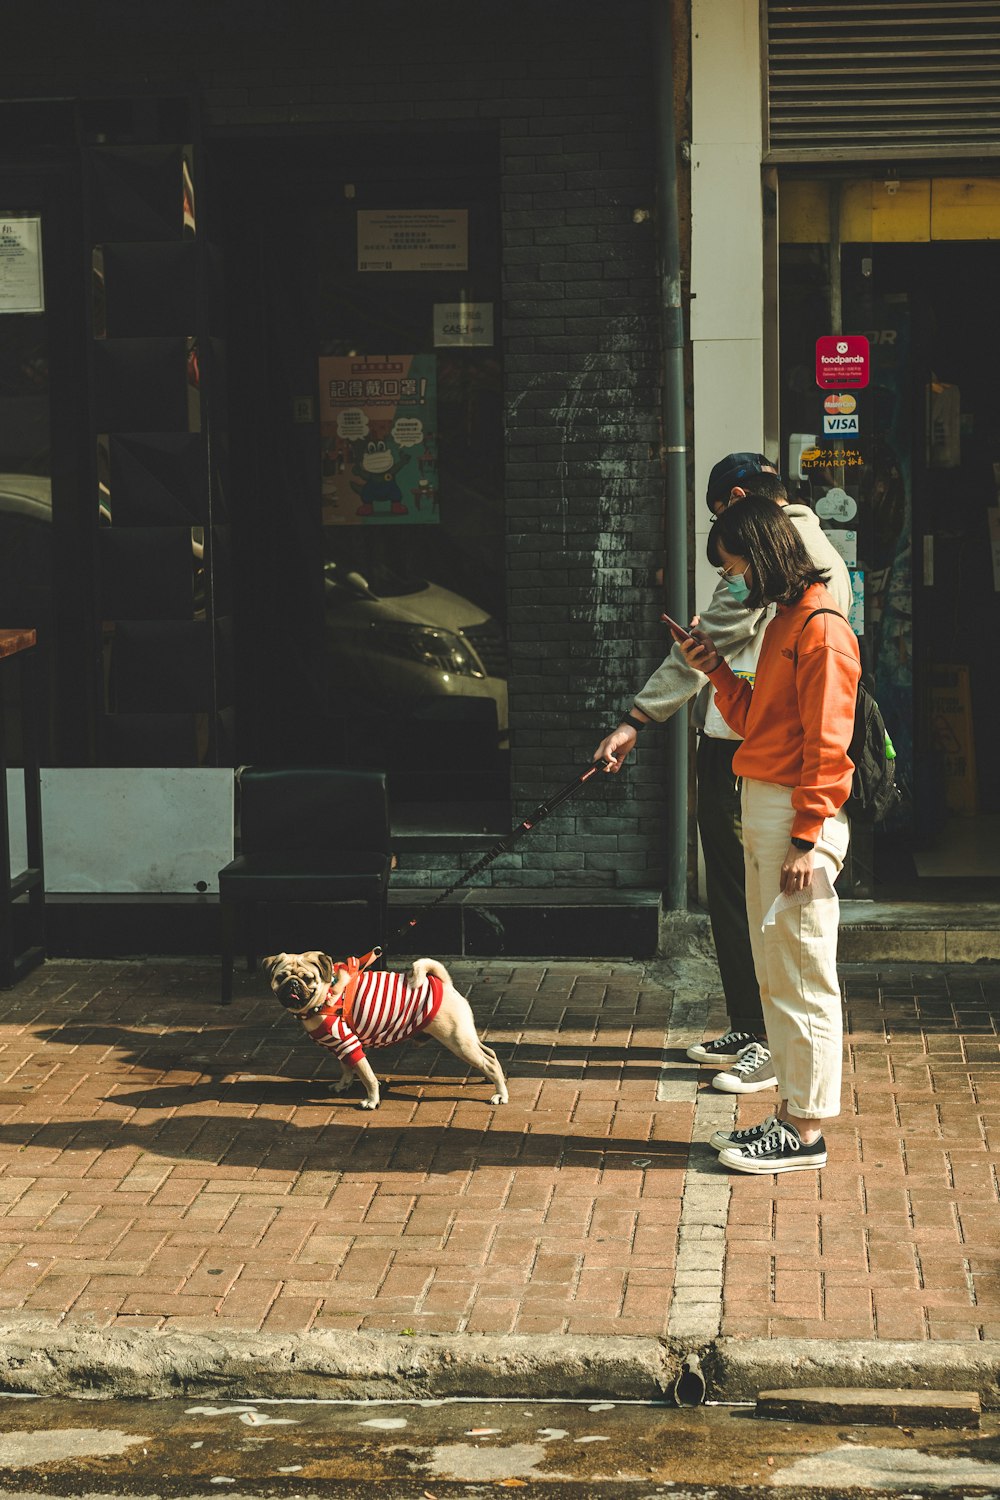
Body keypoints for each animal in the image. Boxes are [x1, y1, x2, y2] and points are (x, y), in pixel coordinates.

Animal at [262, 954, 509, 1110]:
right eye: (280, 977)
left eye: (308, 979)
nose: (293, 985)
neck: (326, 995)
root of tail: (444, 984)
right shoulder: (340, 1047)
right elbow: (347, 1069)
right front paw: (343, 1085)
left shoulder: (349, 1043)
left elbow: (367, 1076)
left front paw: (372, 1101)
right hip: (466, 1038)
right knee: (490, 1053)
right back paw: (490, 1079)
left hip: (458, 1041)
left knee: (489, 1062)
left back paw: (500, 1093)